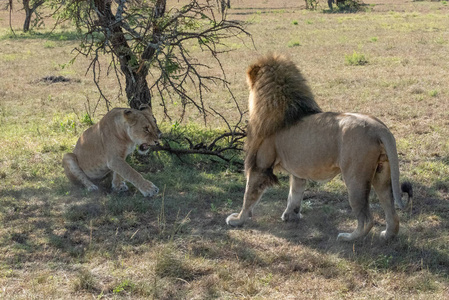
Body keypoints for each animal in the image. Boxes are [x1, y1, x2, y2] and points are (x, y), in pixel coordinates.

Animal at [226, 54, 412, 241]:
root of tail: (378, 127)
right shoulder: (298, 171)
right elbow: (294, 194)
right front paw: (291, 215)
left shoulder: (259, 165)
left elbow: (248, 194)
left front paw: (238, 219)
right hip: (382, 173)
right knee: (392, 212)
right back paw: (387, 235)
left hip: (355, 178)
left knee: (366, 219)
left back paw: (348, 237)